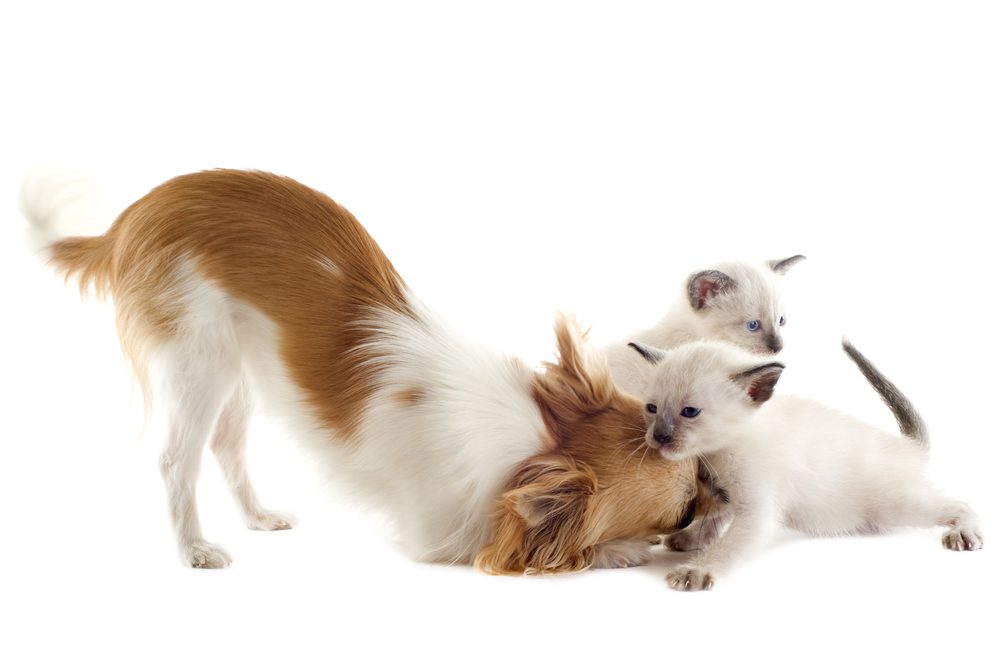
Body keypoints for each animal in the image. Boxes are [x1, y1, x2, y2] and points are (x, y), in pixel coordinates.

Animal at [29, 170, 704, 572]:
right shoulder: (442, 537)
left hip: (240, 368)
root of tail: (130, 217)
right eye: (678, 507)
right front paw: (625, 549)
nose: (706, 505)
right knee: (177, 459)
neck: (538, 442)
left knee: (226, 445)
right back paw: (194, 549)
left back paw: (258, 517)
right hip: (201, 359)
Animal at [628, 336, 980, 592]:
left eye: (690, 412)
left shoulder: (757, 506)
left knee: (958, 503)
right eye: (652, 408)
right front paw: (692, 539)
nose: (658, 436)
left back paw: (964, 533)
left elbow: (730, 545)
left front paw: (698, 569)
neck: (720, 450)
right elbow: (716, 518)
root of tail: (906, 447)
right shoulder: (726, 488)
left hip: (894, 505)